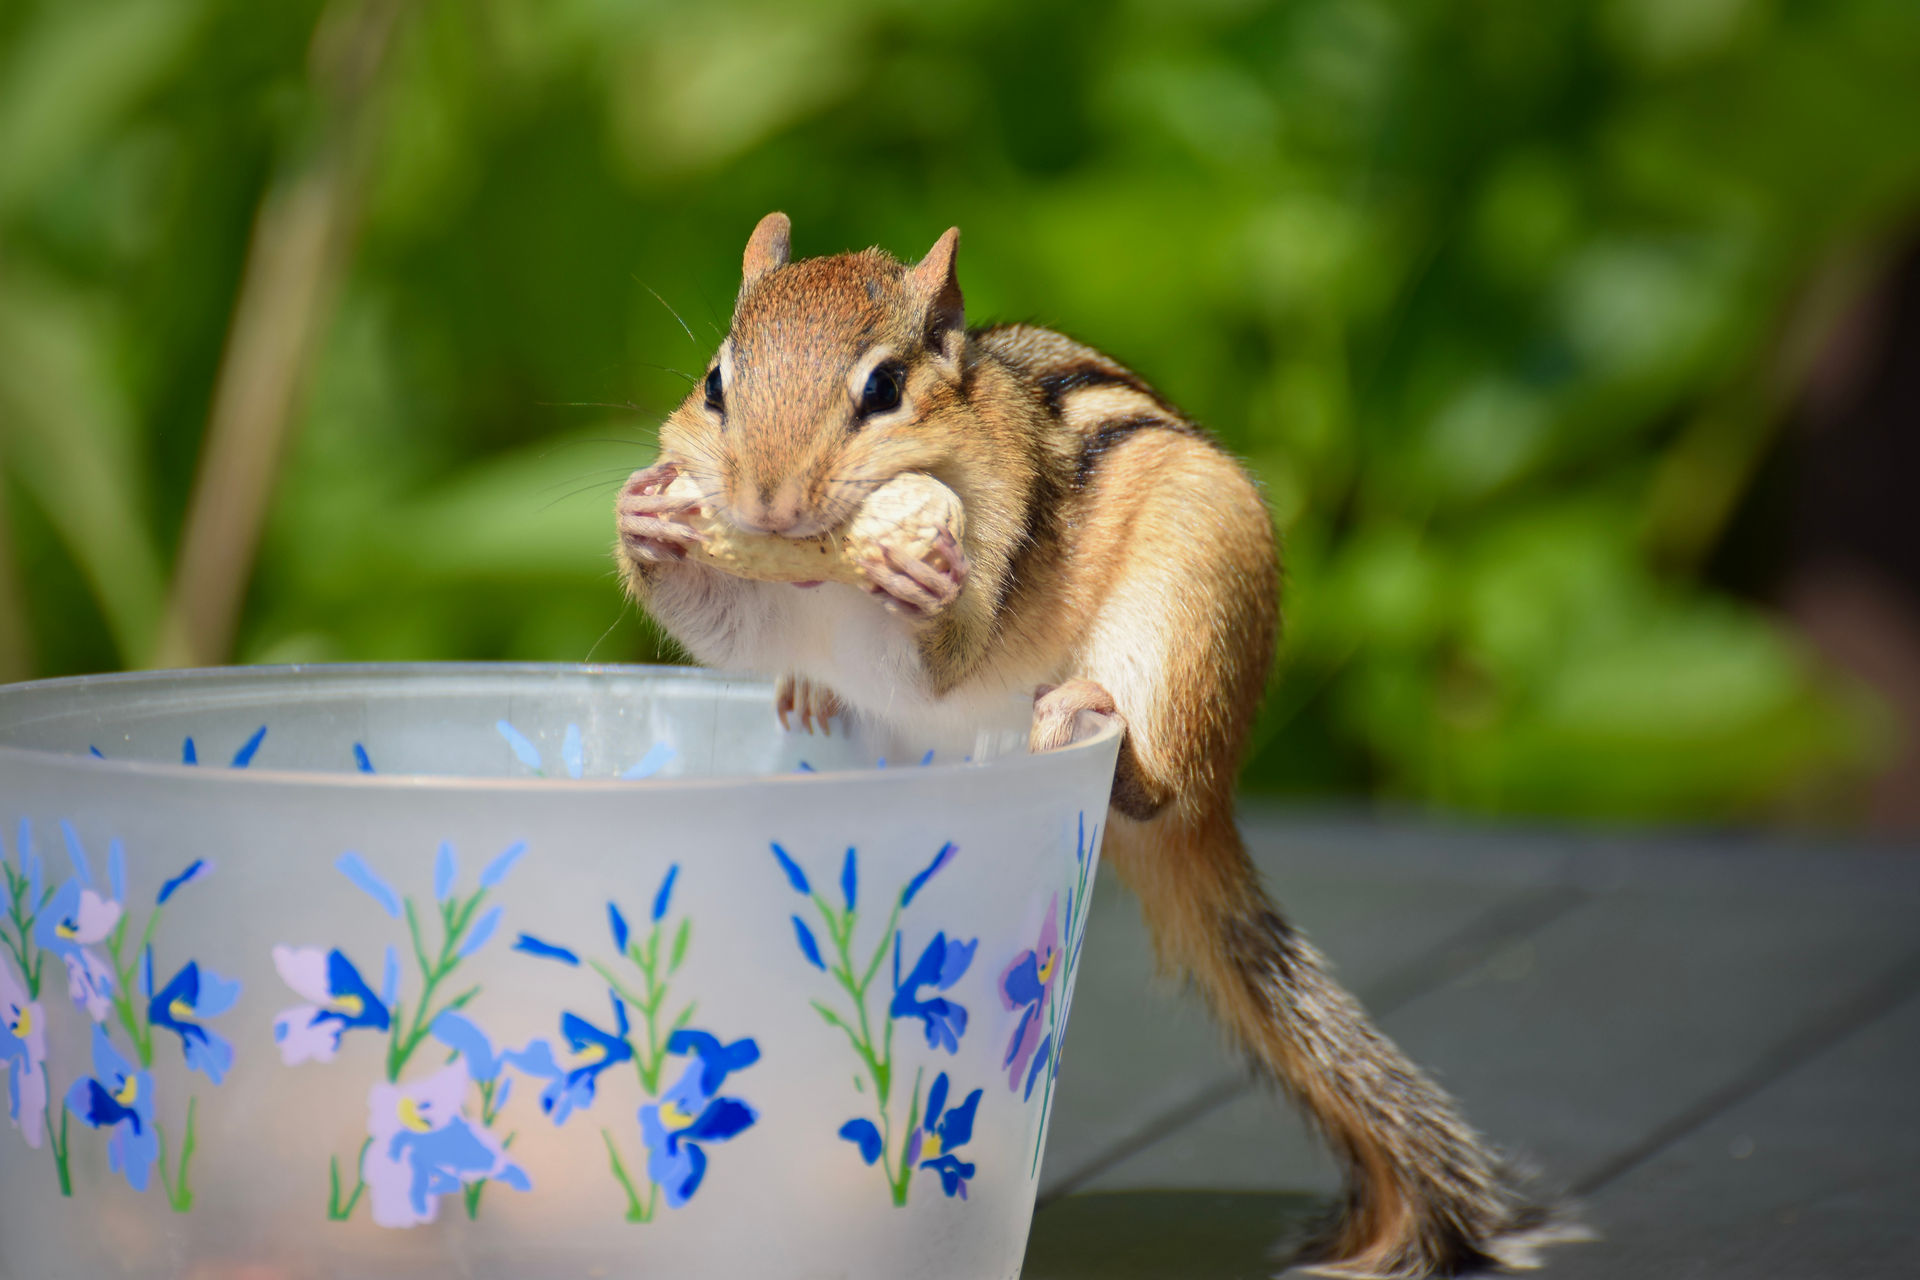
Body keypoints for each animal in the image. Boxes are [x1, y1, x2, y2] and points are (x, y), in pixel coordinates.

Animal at [615, 213, 1567, 1278]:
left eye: (884, 389)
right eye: (714, 384)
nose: (767, 505)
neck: (824, 577)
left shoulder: (993, 552)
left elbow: (939, 658)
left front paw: (918, 581)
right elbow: (726, 629)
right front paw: (645, 519)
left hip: (1190, 608)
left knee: (1159, 782)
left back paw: (1086, 717)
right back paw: (815, 693)